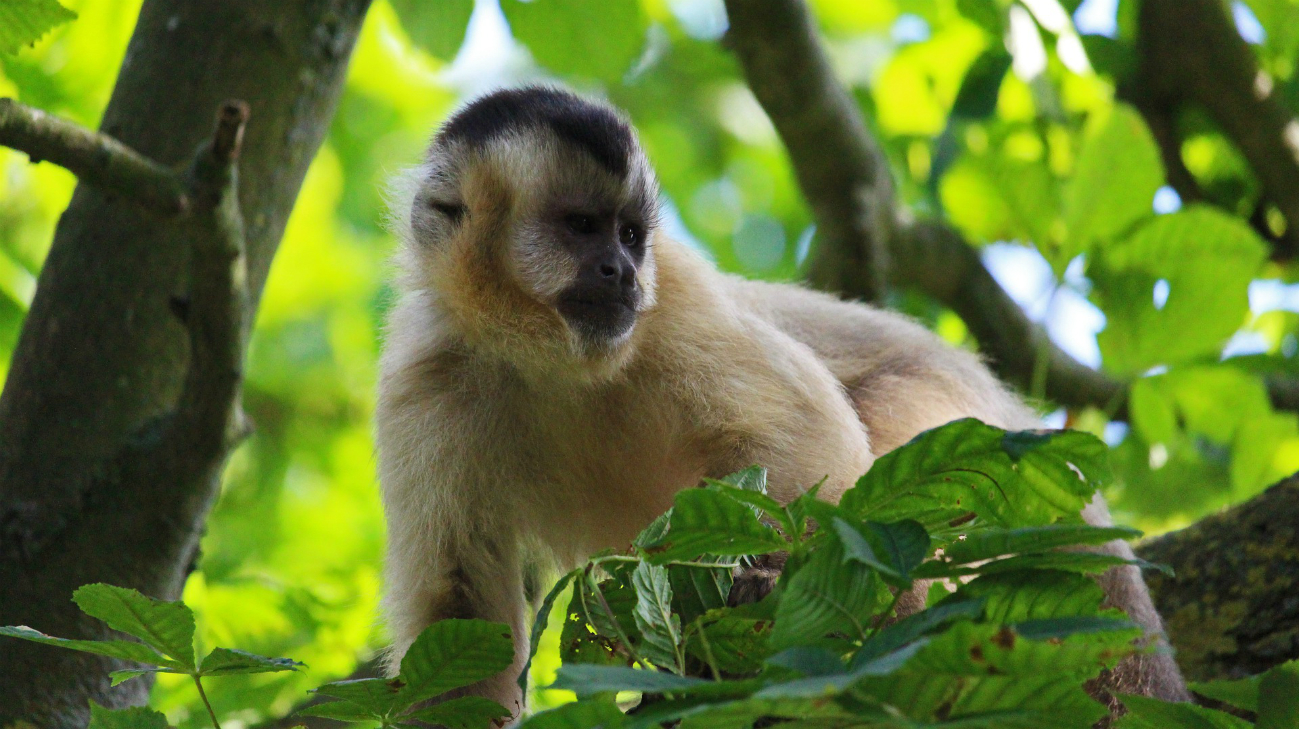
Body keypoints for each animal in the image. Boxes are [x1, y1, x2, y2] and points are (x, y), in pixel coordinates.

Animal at [377, 85, 1190, 717]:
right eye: (580, 227)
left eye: (630, 235)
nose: (620, 271)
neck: (549, 361)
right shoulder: (424, 380)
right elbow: (459, 608)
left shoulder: (673, 297)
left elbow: (807, 437)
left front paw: (758, 591)